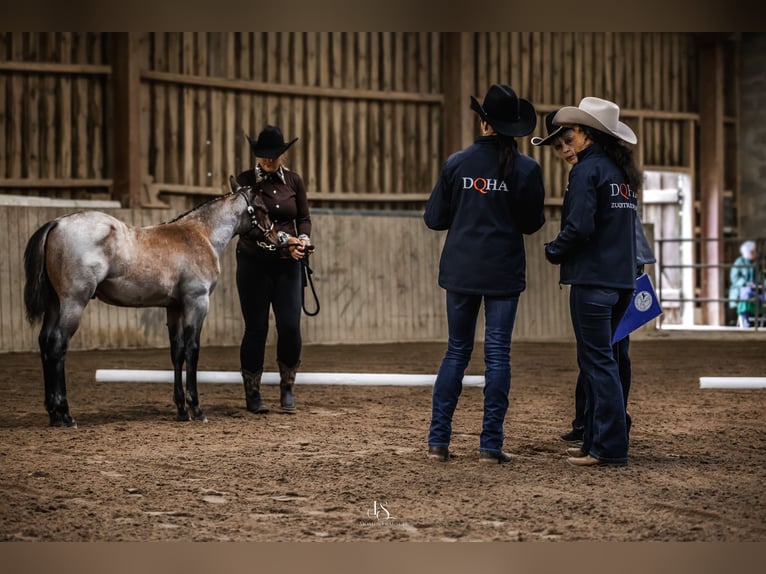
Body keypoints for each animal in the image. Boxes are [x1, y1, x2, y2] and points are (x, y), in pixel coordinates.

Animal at [23, 175, 278, 427]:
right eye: (264, 209)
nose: (278, 238)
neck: (201, 235)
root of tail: (57, 223)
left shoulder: (174, 308)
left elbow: (177, 352)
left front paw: (182, 410)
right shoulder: (197, 303)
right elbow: (192, 350)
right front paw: (196, 409)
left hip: (55, 305)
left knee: (45, 342)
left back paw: (53, 414)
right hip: (73, 303)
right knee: (58, 346)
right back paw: (65, 414)